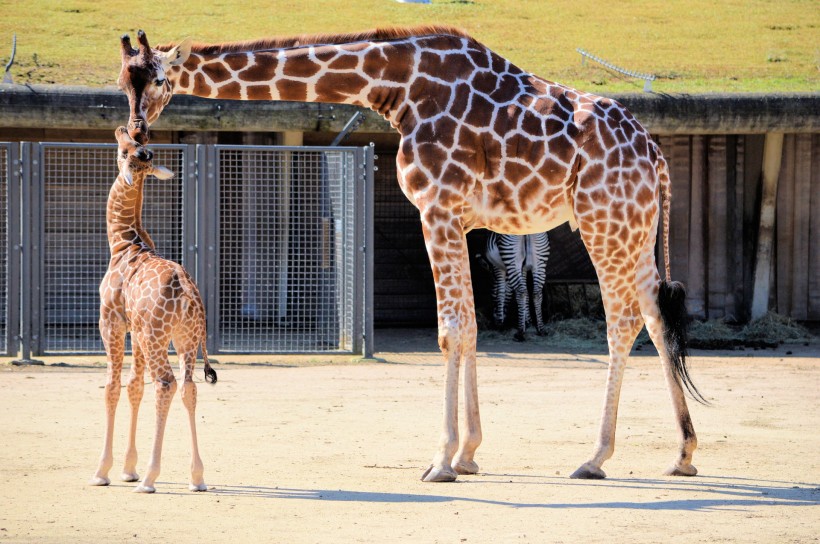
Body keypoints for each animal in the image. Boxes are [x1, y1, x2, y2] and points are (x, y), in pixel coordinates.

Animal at [91, 127, 216, 492]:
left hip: (157, 336)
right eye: (134, 147)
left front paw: (103, 471)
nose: (121, 129)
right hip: (184, 338)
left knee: (165, 383)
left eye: (125, 151)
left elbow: (112, 387)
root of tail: (188, 292)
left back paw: (149, 478)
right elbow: (134, 386)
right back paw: (196, 477)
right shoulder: (135, 330)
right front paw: (127, 468)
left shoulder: (112, 323)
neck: (122, 243)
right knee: (188, 386)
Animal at [118, 26, 708, 480]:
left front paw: (441, 460)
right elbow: (470, 328)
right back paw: (683, 454)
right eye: (124, 81)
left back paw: (595, 457)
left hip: (603, 221)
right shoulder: (460, 218)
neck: (396, 86)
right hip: (634, 227)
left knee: (622, 323)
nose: (139, 133)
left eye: (161, 79)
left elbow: (452, 331)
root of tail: (656, 154)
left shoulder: (437, 207)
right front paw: (468, 454)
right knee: (657, 317)